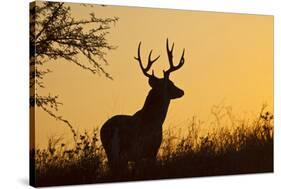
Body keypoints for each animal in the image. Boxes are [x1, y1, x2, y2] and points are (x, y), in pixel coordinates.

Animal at [99, 38, 185, 173]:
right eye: (171, 83)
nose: (181, 91)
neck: (155, 119)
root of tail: (114, 128)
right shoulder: (152, 150)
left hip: (110, 152)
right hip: (130, 150)